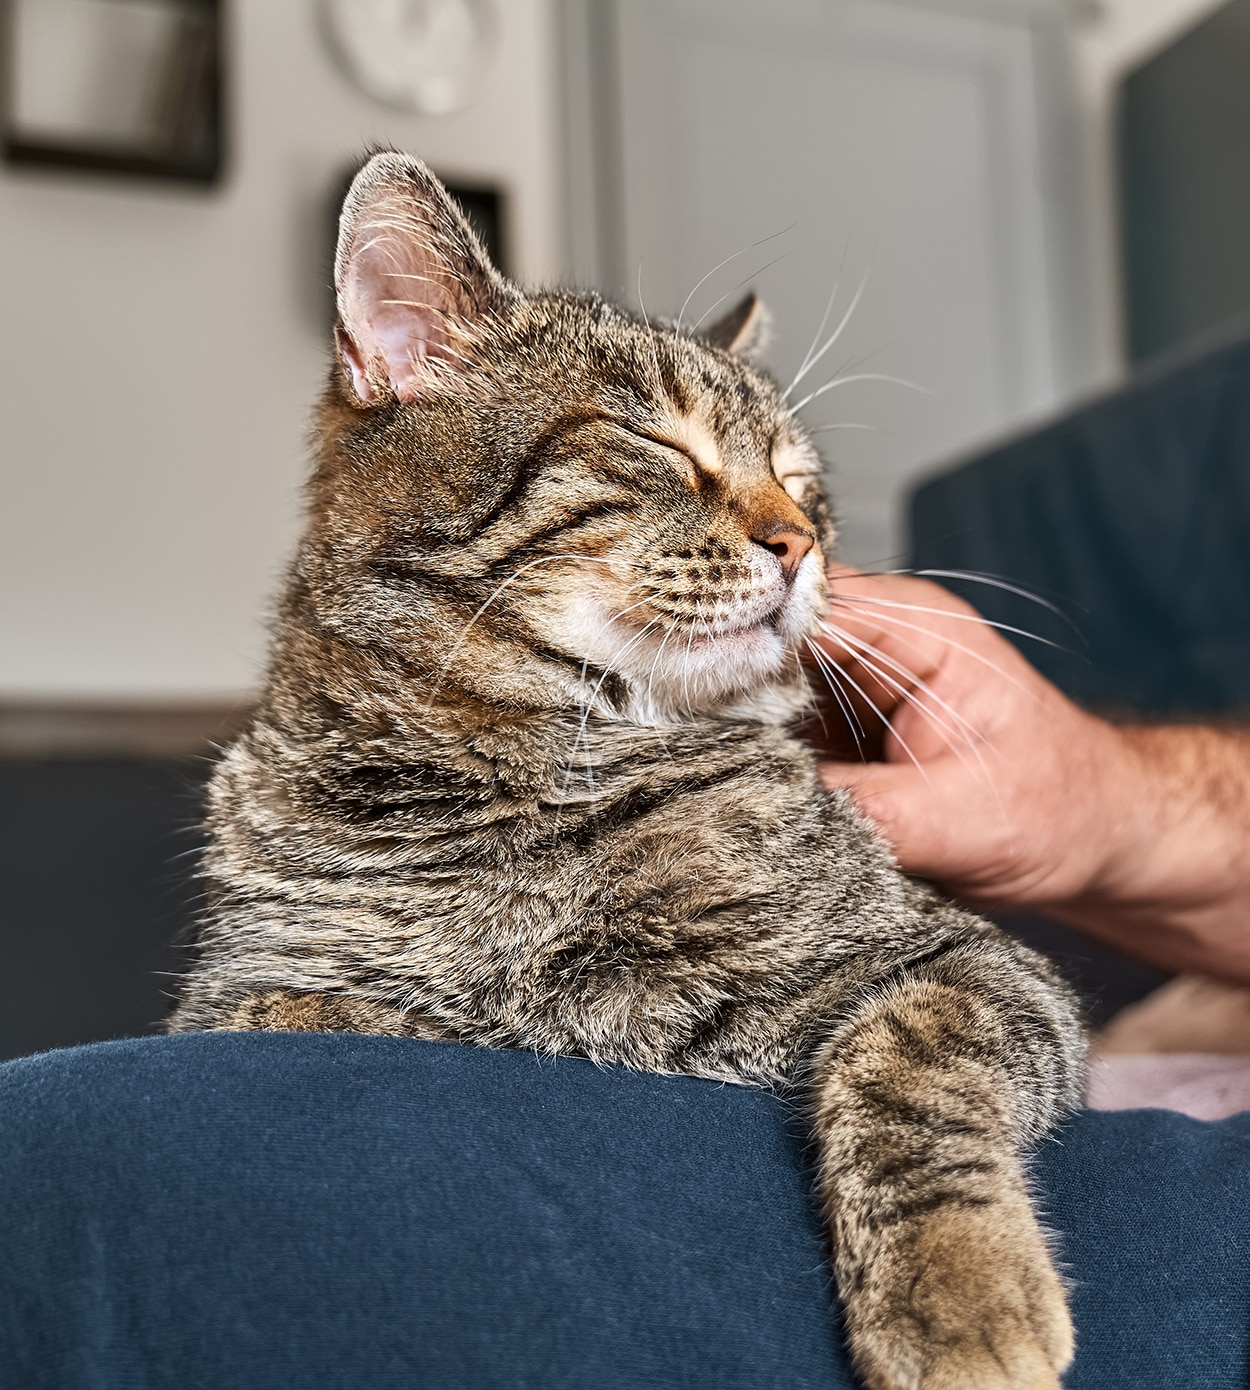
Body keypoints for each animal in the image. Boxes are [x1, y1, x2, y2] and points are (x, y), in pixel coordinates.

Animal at [171, 152, 1090, 1390]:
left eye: (800, 480)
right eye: (656, 445)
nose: (801, 541)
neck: (510, 791)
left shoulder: (972, 964)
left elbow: (905, 1062)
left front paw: (959, 1289)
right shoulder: (229, 994)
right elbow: (328, 1015)